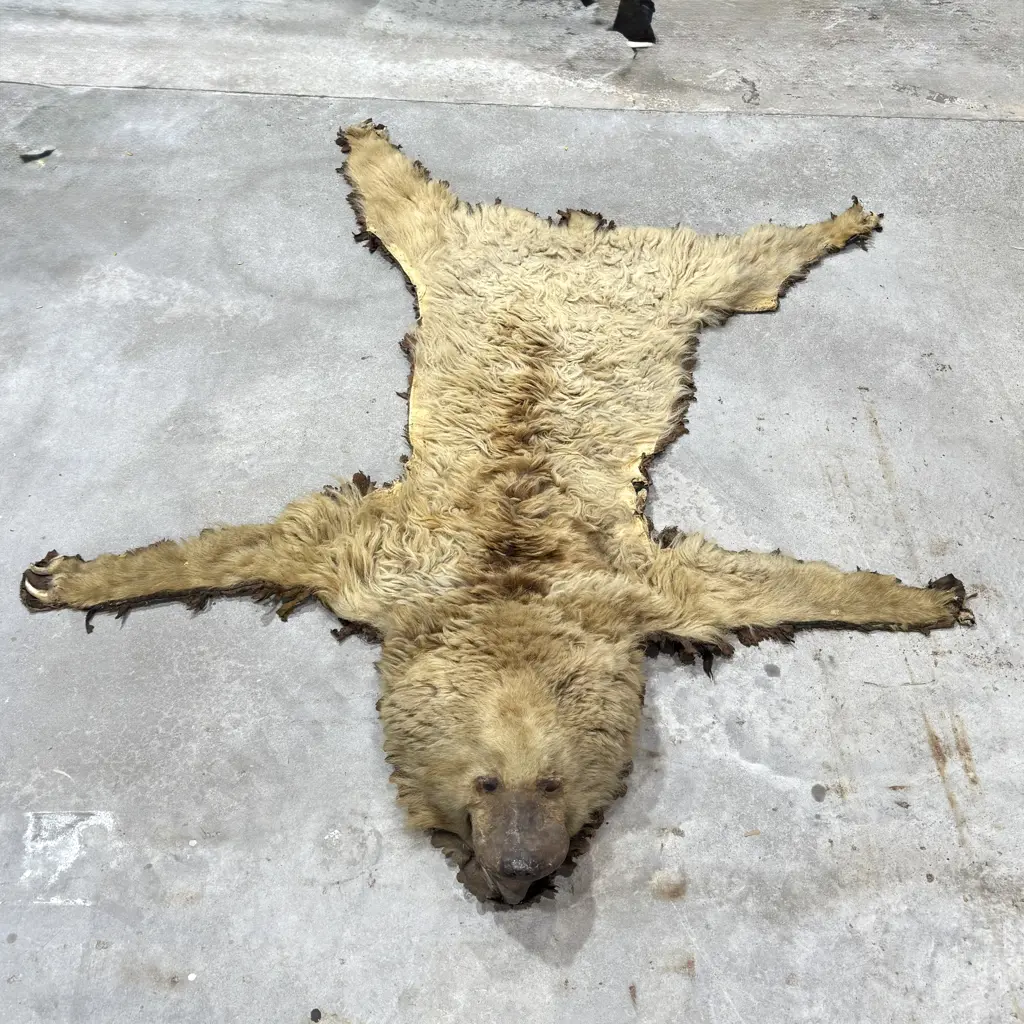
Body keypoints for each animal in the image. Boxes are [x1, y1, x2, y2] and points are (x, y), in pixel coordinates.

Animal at [20, 120, 974, 904]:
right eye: (485, 783)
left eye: (552, 783)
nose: (520, 871)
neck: (507, 584)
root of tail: (571, 241)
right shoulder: (375, 558)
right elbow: (241, 549)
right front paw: (72, 579)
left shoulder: (637, 589)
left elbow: (762, 585)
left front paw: (917, 596)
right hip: (466, 256)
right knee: (413, 214)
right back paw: (366, 144)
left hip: (665, 281)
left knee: (746, 263)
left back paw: (836, 224)